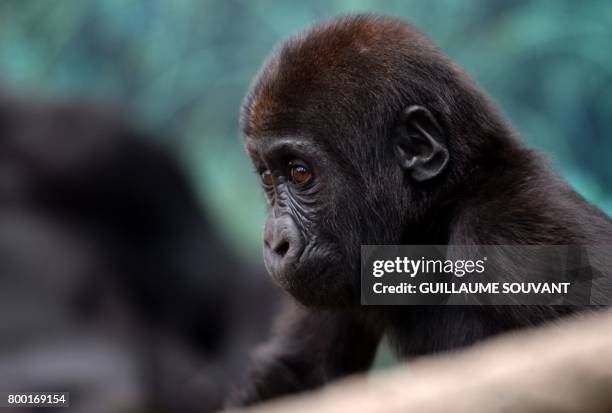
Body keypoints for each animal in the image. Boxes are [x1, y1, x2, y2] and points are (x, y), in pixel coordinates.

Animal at [230, 13, 612, 406]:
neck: (440, 212)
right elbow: (296, 371)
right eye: (268, 178)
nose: (274, 243)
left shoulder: (513, 232)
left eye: (300, 172)